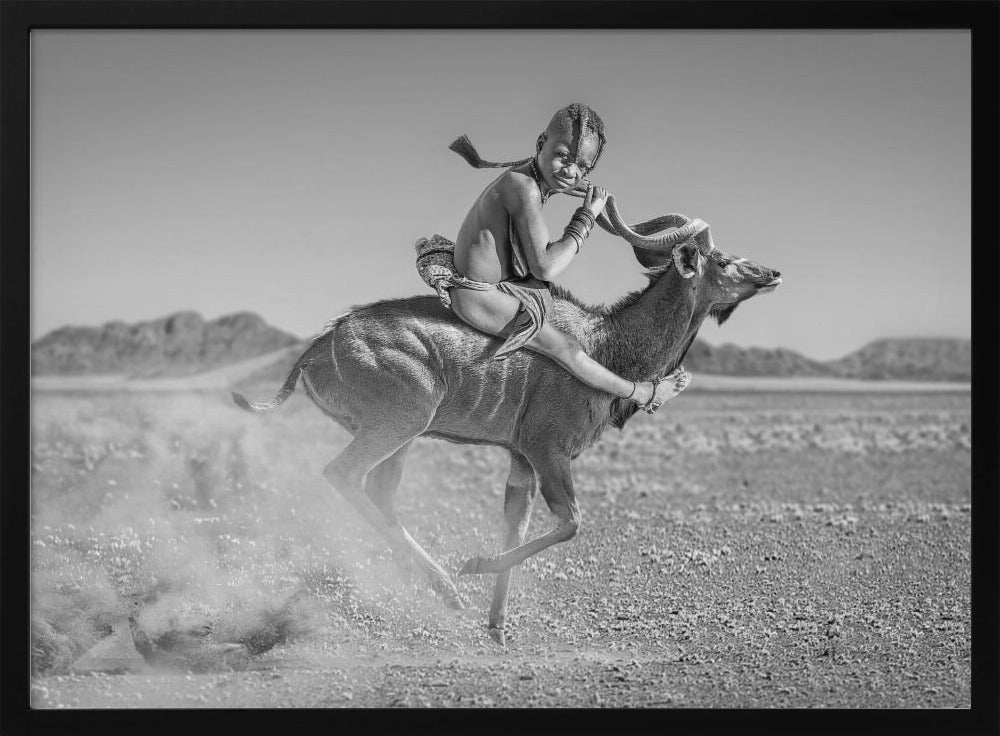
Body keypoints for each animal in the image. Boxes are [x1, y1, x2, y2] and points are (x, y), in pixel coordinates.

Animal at [232, 216, 780, 640]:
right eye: (723, 260)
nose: (773, 272)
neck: (606, 345)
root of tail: (319, 347)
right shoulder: (546, 450)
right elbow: (570, 522)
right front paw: (473, 568)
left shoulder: (521, 460)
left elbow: (515, 523)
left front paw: (496, 625)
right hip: (401, 422)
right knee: (342, 475)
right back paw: (449, 589)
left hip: (401, 438)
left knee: (379, 493)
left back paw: (446, 592)